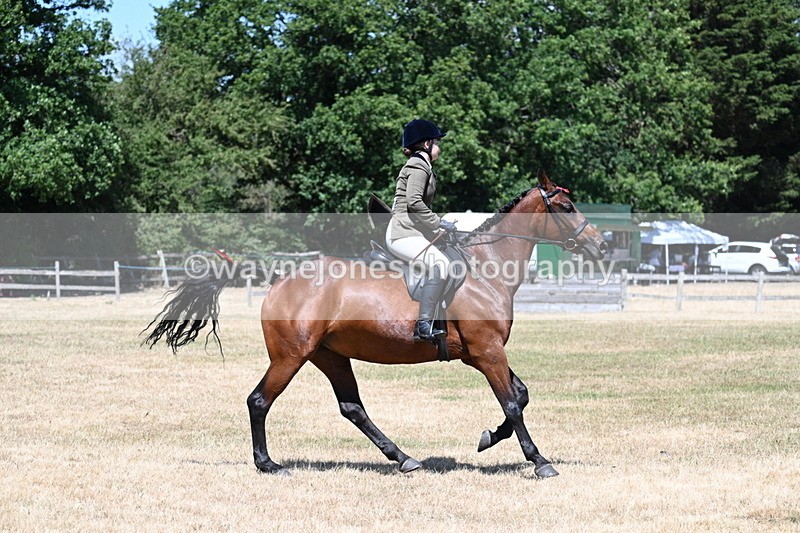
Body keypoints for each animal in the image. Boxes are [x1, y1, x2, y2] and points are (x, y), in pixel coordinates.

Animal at [143, 170, 608, 478]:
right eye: (566, 206)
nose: (600, 245)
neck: (485, 268)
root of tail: (279, 277)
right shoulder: (488, 351)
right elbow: (511, 402)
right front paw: (540, 461)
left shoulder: (483, 353)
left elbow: (521, 395)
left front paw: (488, 438)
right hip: (290, 356)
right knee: (259, 401)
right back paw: (268, 464)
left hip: (329, 356)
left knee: (352, 407)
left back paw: (403, 458)